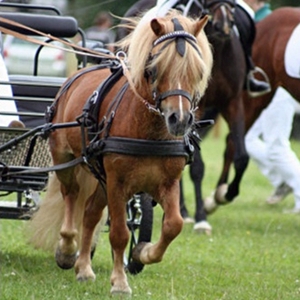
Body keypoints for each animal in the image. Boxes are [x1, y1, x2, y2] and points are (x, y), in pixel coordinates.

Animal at [27, 11, 211, 296]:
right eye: (153, 69)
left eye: (198, 71)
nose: (179, 120)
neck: (149, 132)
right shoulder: (117, 183)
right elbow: (119, 234)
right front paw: (120, 283)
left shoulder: (168, 183)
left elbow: (174, 225)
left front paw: (143, 252)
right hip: (67, 161)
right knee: (71, 196)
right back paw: (67, 250)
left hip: (102, 178)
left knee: (90, 213)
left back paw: (83, 268)